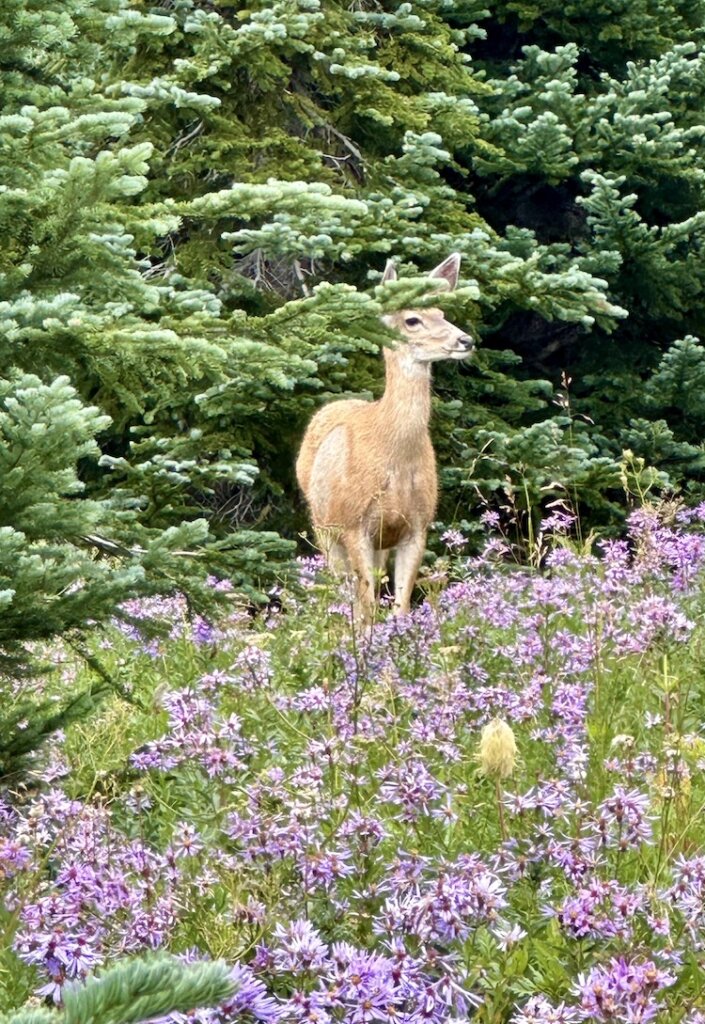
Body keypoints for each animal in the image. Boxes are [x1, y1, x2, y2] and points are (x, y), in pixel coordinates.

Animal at [295, 256, 471, 622]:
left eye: (441, 312)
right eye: (412, 319)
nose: (466, 340)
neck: (392, 452)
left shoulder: (417, 526)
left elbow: (400, 606)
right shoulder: (354, 524)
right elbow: (366, 609)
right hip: (324, 527)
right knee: (343, 591)